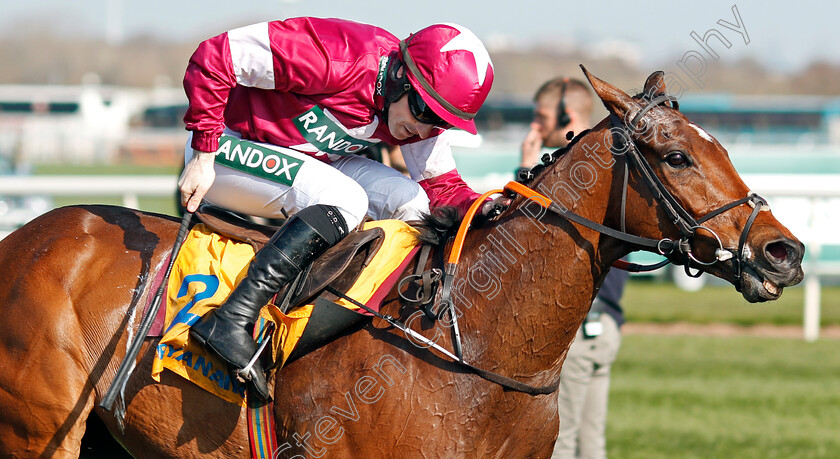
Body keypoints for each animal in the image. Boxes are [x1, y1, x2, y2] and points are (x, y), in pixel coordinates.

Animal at [0, 69, 804, 459]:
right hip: (37, 432)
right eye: (675, 156)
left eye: (721, 146)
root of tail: (26, 237)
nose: (784, 251)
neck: (472, 344)